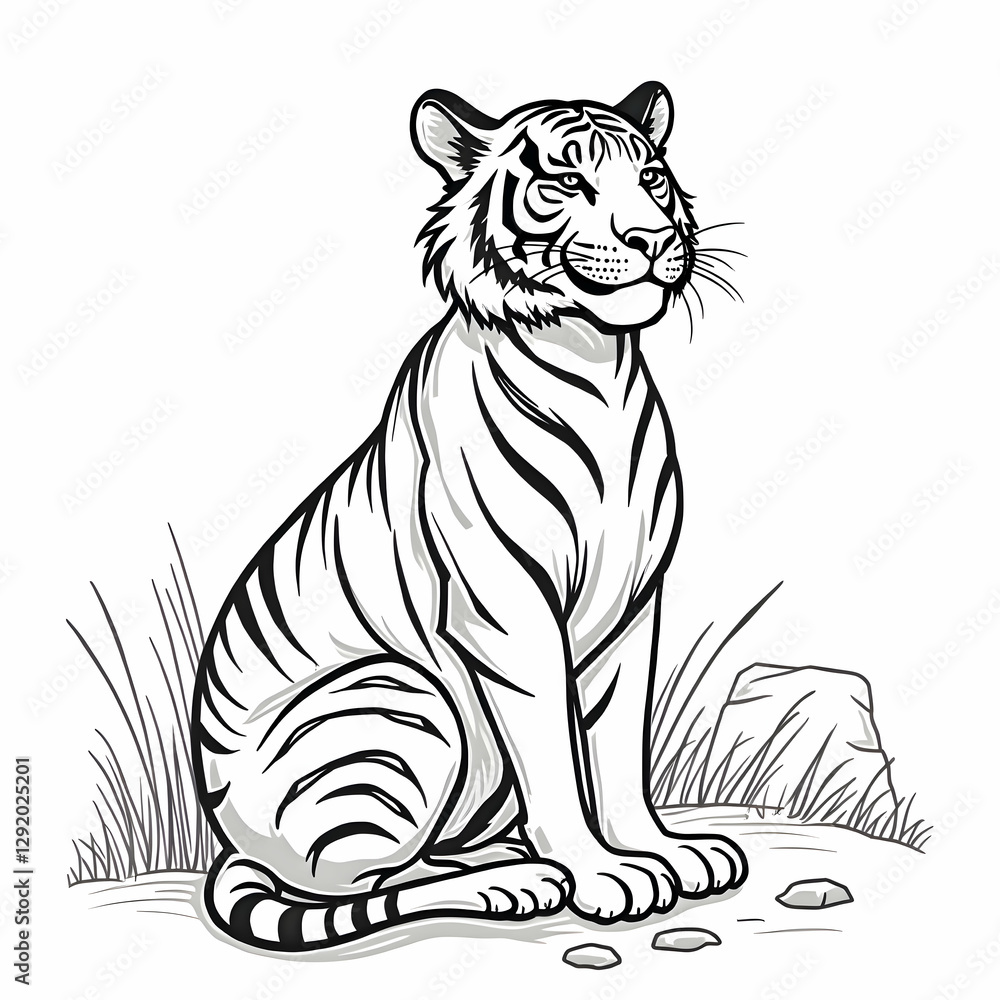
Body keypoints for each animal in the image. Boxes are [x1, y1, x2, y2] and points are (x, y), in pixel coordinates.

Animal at [193, 81, 747, 953]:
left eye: (651, 179)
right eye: (567, 182)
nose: (653, 237)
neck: (596, 360)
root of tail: (231, 837)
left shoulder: (633, 610)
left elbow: (619, 748)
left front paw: (660, 850)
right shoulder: (508, 610)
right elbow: (554, 756)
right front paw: (604, 874)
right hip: (397, 699)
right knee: (373, 879)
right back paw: (512, 882)